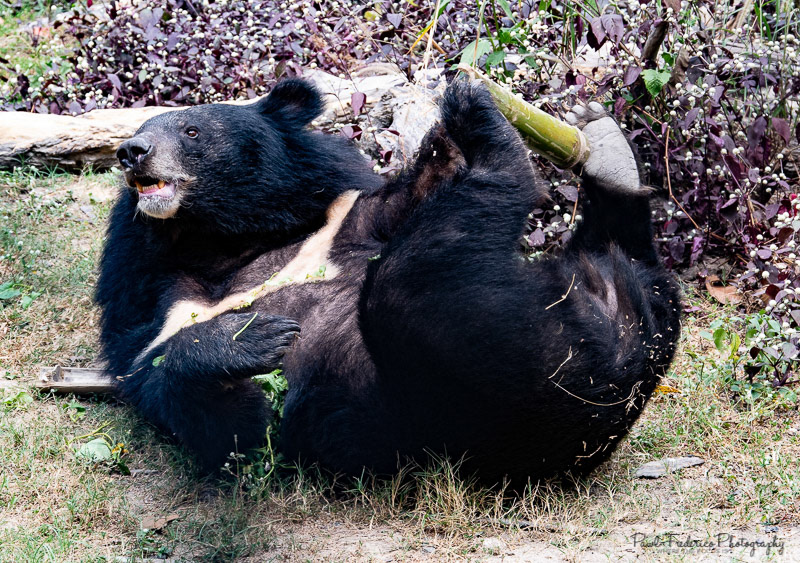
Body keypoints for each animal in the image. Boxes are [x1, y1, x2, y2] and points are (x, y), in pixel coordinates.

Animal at [96, 78, 681, 486]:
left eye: (191, 131)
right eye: (142, 131)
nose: (131, 151)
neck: (228, 240)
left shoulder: (342, 216)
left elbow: (404, 195)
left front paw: (446, 122)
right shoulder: (159, 308)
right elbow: (220, 417)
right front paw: (257, 335)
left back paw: (582, 140)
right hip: (482, 389)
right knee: (419, 273)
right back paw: (502, 136)